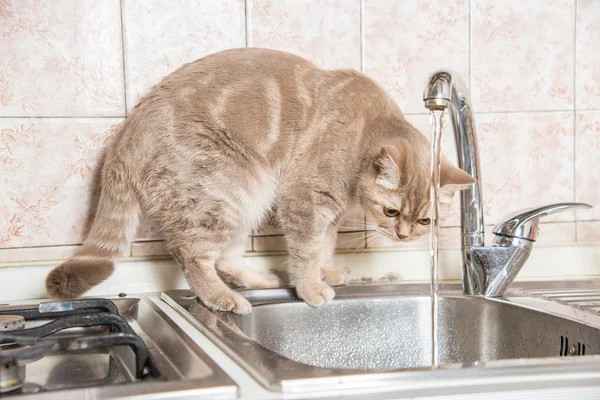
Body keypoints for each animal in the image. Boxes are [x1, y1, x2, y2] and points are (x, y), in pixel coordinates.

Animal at [44, 48, 474, 314]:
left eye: (425, 220)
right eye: (392, 211)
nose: (404, 236)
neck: (365, 133)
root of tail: (127, 132)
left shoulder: (331, 213)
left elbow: (326, 246)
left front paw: (328, 271)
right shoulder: (305, 200)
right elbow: (306, 252)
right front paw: (311, 287)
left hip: (243, 198)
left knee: (225, 256)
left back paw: (259, 278)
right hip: (232, 185)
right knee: (192, 255)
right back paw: (223, 298)